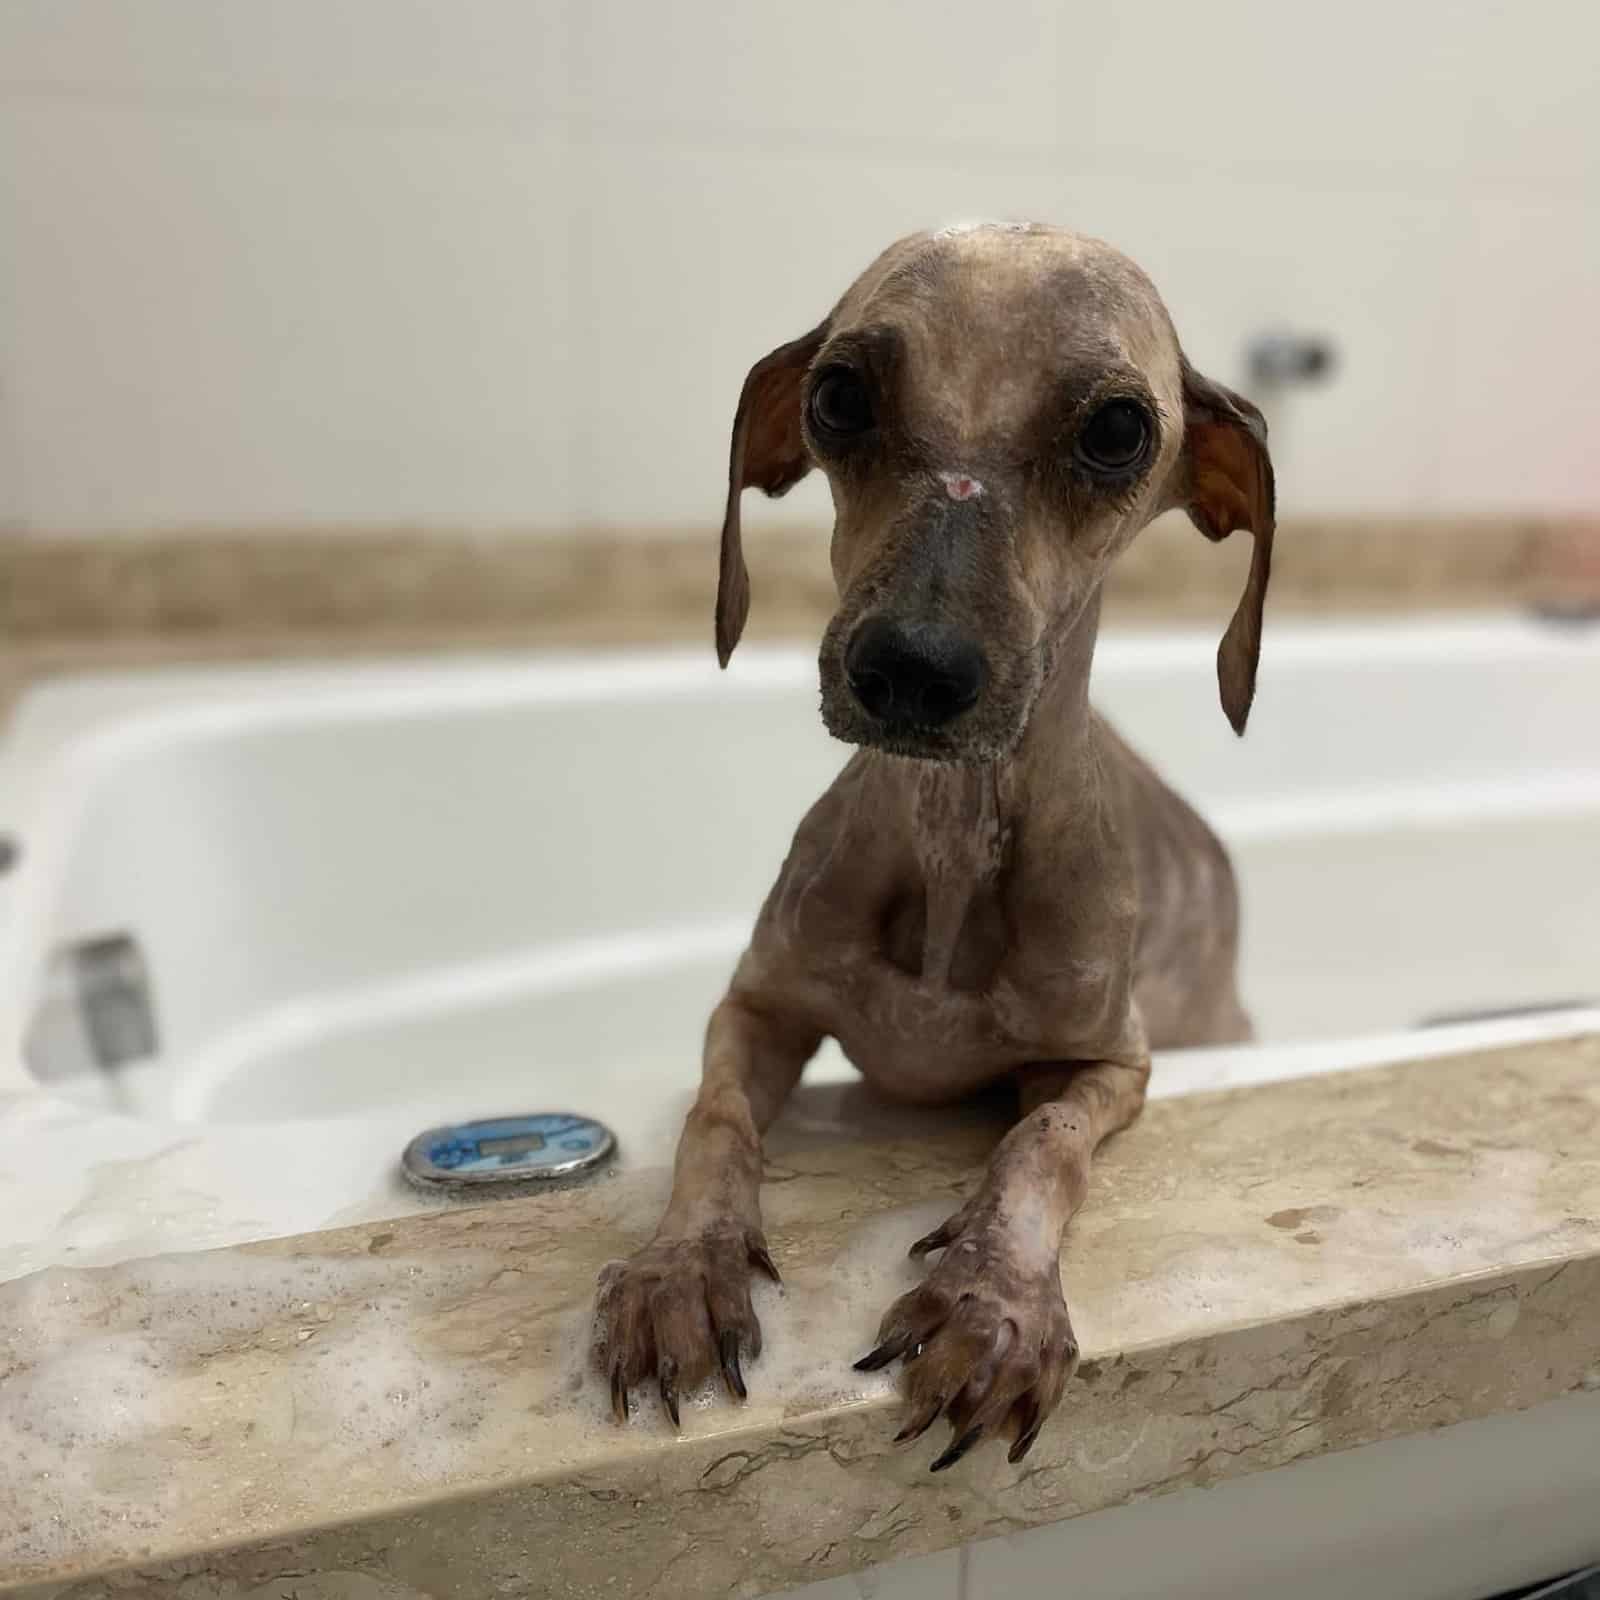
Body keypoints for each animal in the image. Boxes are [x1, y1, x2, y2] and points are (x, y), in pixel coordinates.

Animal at [588, 219, 1273, 1465]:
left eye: (1116, 428)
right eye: (838, 395)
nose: (910, 666)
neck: (952, 846)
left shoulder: (1113, 1064)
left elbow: (1040, 1141)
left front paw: (989, 1298)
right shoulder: (754, 1006)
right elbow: (714, 1121)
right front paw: (680, 1270)